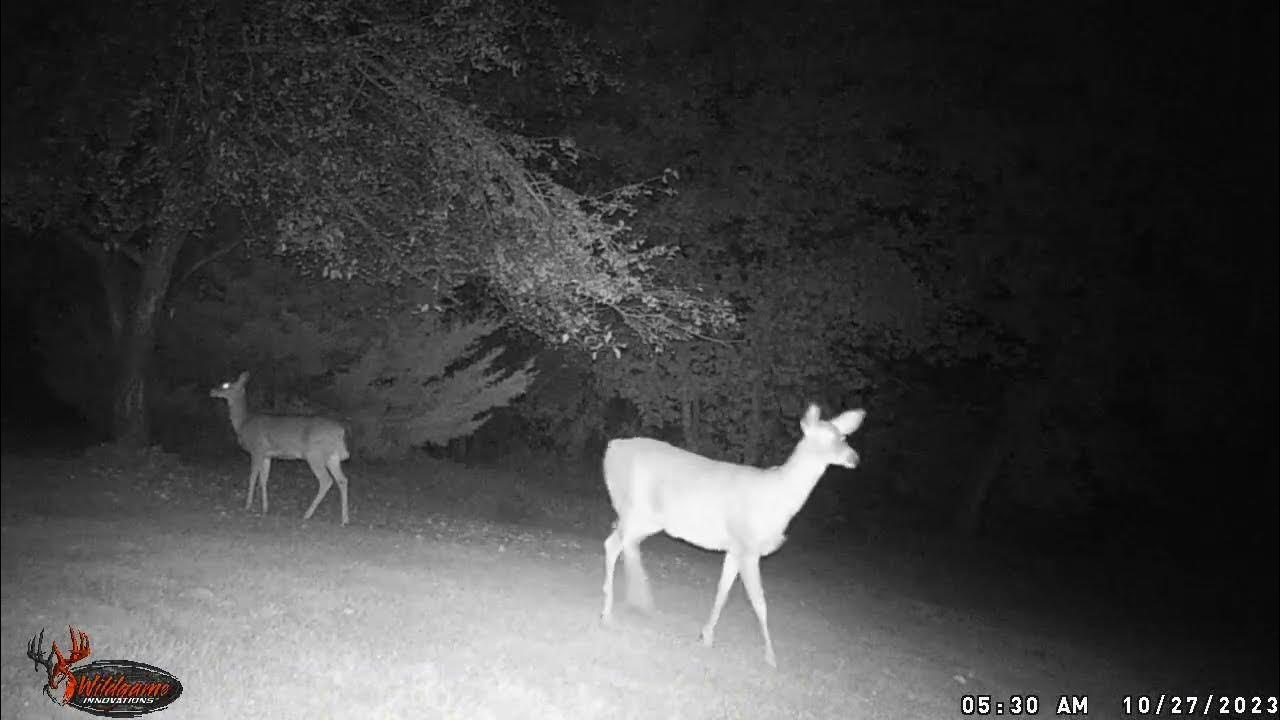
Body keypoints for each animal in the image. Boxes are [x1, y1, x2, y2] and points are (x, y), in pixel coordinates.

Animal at [209, 371, 352, 525]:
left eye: (226, 385)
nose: (212, 391)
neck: (243, 423)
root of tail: (340, 431)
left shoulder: (257, 449)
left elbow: (252, 477)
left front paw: (247, 506)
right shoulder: (267, 455)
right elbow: (263, 479)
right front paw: (265, 509)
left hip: (315, 454)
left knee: (326, 480)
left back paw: (307, 514)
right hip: (332, 457)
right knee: (342, 480)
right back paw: (345, 519)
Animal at [600, 403, 866, 667]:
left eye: (843, 437)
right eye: (826, 438)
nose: (854, 458)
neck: (777, 499)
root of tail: (612, 449)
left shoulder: (734, 549)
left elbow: (723, 591)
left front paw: (706, 635)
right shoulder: (748, 546)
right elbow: (760, 602)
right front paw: (771, 657)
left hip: (642, 517)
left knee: (624, 544)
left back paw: (635, 600)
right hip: (640, 512)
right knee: (613, 544)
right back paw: (610, 610)